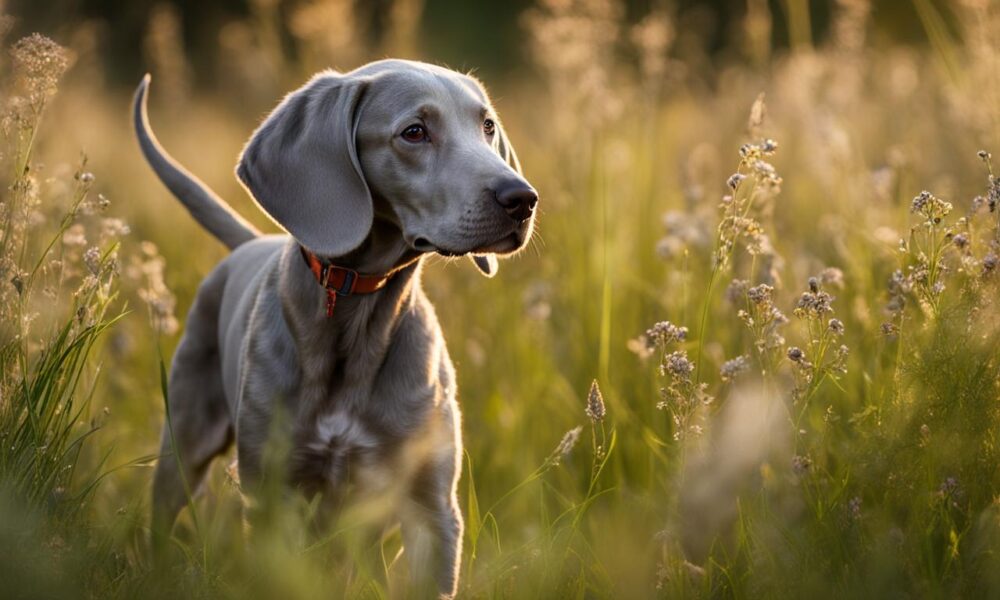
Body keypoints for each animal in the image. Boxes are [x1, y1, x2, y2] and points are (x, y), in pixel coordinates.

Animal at [136, 59, 540, 596]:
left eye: (487, 126)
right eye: (414, 132)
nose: (522, 198)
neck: (358, 315)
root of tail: (251, 240)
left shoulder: (431, 509)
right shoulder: (273, 499)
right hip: (185, 438)